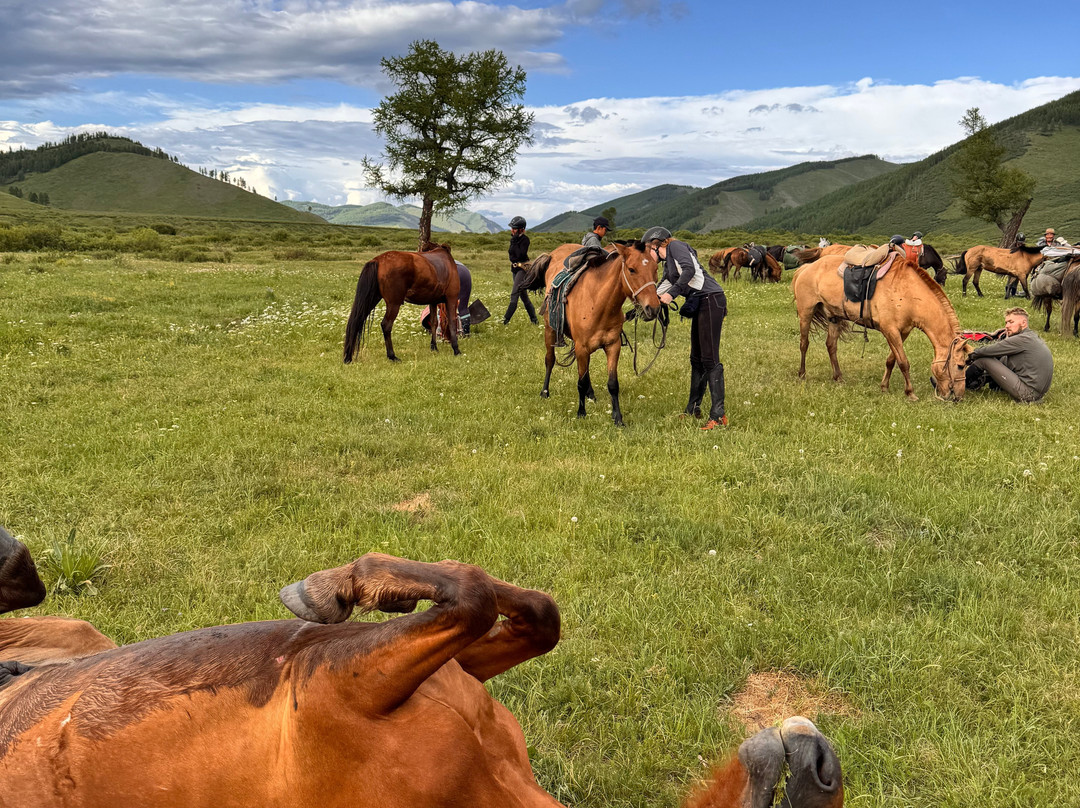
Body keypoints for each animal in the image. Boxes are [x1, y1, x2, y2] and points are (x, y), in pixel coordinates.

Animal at [0, 540, 845, 808]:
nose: (821, 762)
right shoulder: (332, 681)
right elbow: (475, 593)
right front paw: (336, 586)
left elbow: (529, 611)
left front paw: (352, 586)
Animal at [523, 241, 661, 426]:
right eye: (631, 269)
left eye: (655, 268)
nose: (653, 308)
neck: (599, 303)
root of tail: (553, 254)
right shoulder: (582, 347)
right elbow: (580, 382)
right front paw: (581, 413)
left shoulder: (612, 345)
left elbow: (612, 384)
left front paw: (617, 418)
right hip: (550, 330)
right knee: (550, 360)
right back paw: (545, 392)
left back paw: (591, 394)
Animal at [793, 252, 970, 401]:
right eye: (960, 366)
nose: (959, 396)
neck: (908, 293)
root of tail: (807, 267)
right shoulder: (890, 330)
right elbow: (903, 362)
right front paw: (910, 393)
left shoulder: (902, 332)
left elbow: (891, 360)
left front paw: (884, 387)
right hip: (806, 313)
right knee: (804, 344)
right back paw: (801, 374)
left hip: (834, 317)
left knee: (831, 345)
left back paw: (838, 377)